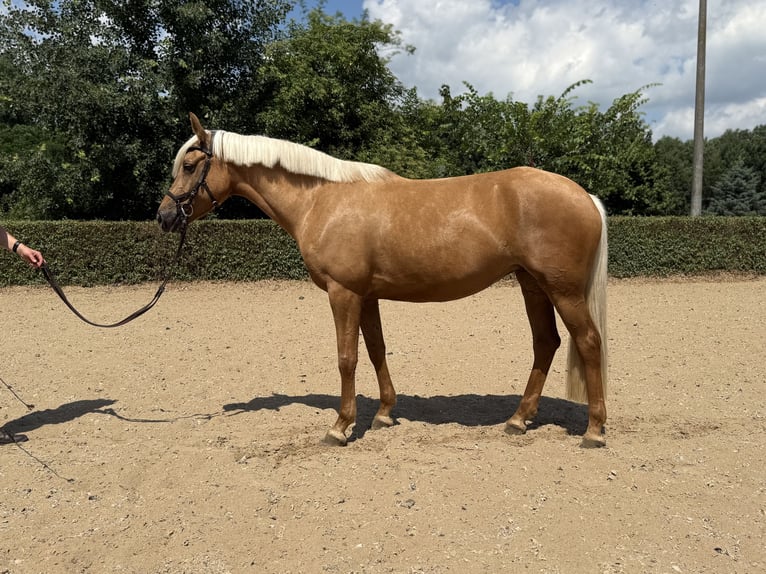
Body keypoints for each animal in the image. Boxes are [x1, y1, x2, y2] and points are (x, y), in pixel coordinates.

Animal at [157, 113, 609, 447]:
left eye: (190, 166)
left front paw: (340, 427)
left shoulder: (343, 293)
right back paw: (518, 420)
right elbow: (376, 350)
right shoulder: (367, 295)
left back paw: (593, 430)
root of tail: (585, 196)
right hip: (533, 284)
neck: (322, 199)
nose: (164, 216)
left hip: (562, 290)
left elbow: (347, 357)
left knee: (588, 342)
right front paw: (385, 415)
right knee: (546, 343)